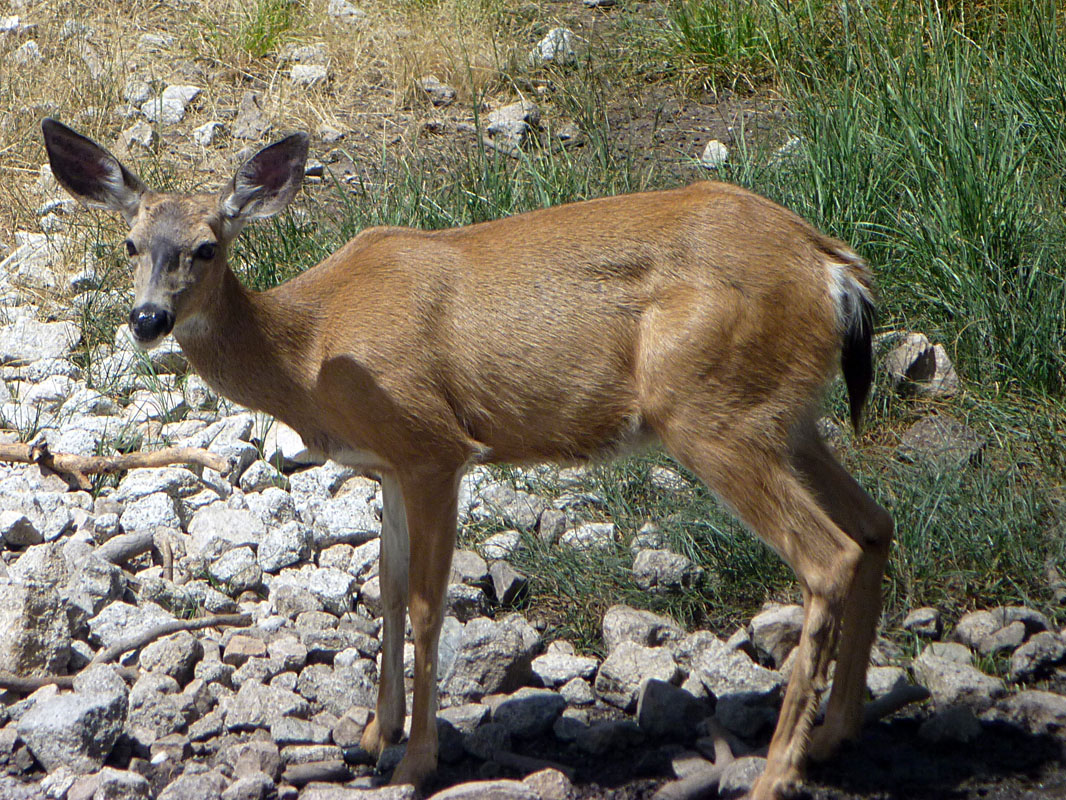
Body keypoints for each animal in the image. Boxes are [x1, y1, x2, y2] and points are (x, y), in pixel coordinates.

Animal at [41, 117, 893, 799]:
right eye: (129, 245)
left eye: (207, 248)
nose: (148, 319)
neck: (310, 348)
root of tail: (835, 270)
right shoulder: (385, 465)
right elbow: (382, 590)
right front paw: (371, 735)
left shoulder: (434, 448)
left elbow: (426, 603)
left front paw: (418, 760)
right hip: (784, 417)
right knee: (875, 525)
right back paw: (833, 733)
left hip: (711, 411)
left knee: (828, 555)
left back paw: (778, 772)